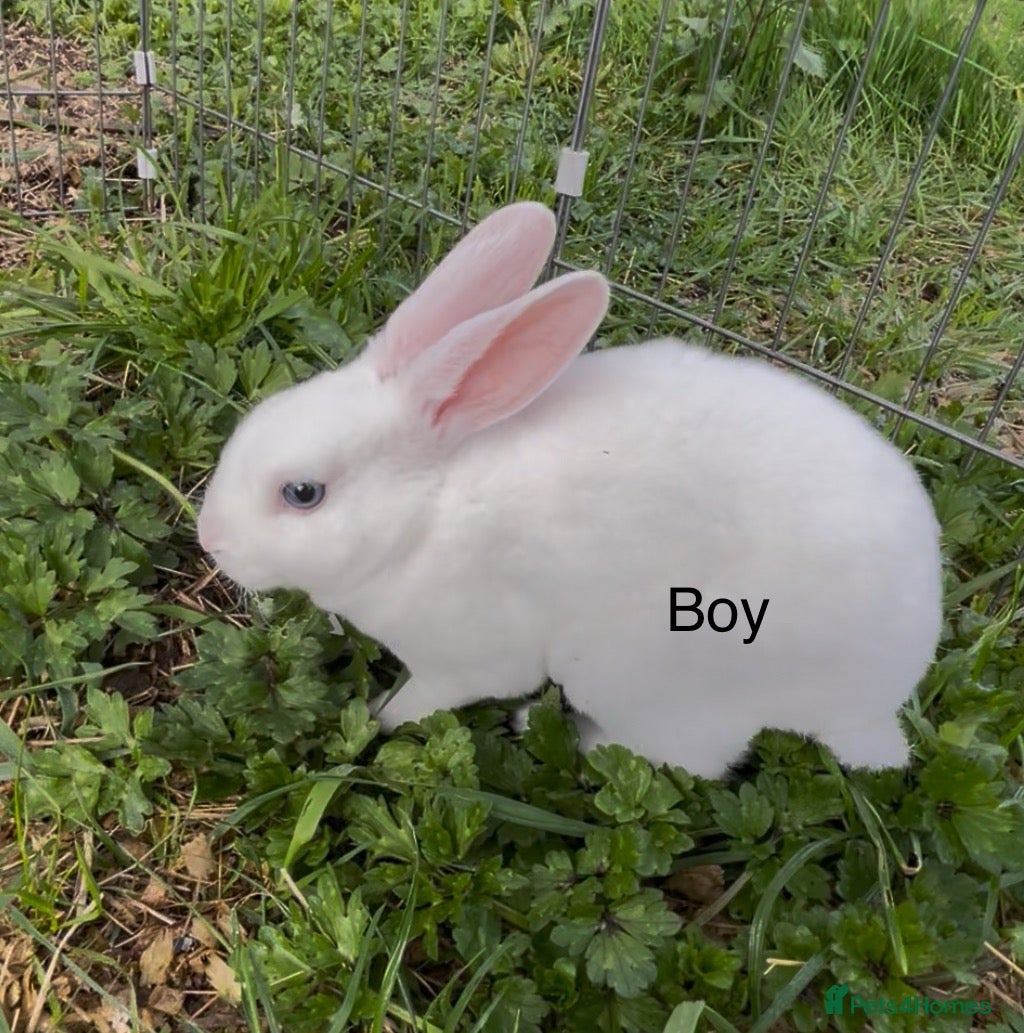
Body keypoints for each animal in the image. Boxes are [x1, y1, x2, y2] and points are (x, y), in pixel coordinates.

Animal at [197, 201, 943, 779]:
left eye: (302, 493)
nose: (210, 537)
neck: (426, 512)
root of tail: (877, 699)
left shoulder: (469, 658)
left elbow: (429, 696)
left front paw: (380, 717)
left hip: (649, 675)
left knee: (688, 757)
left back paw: (548, 729)